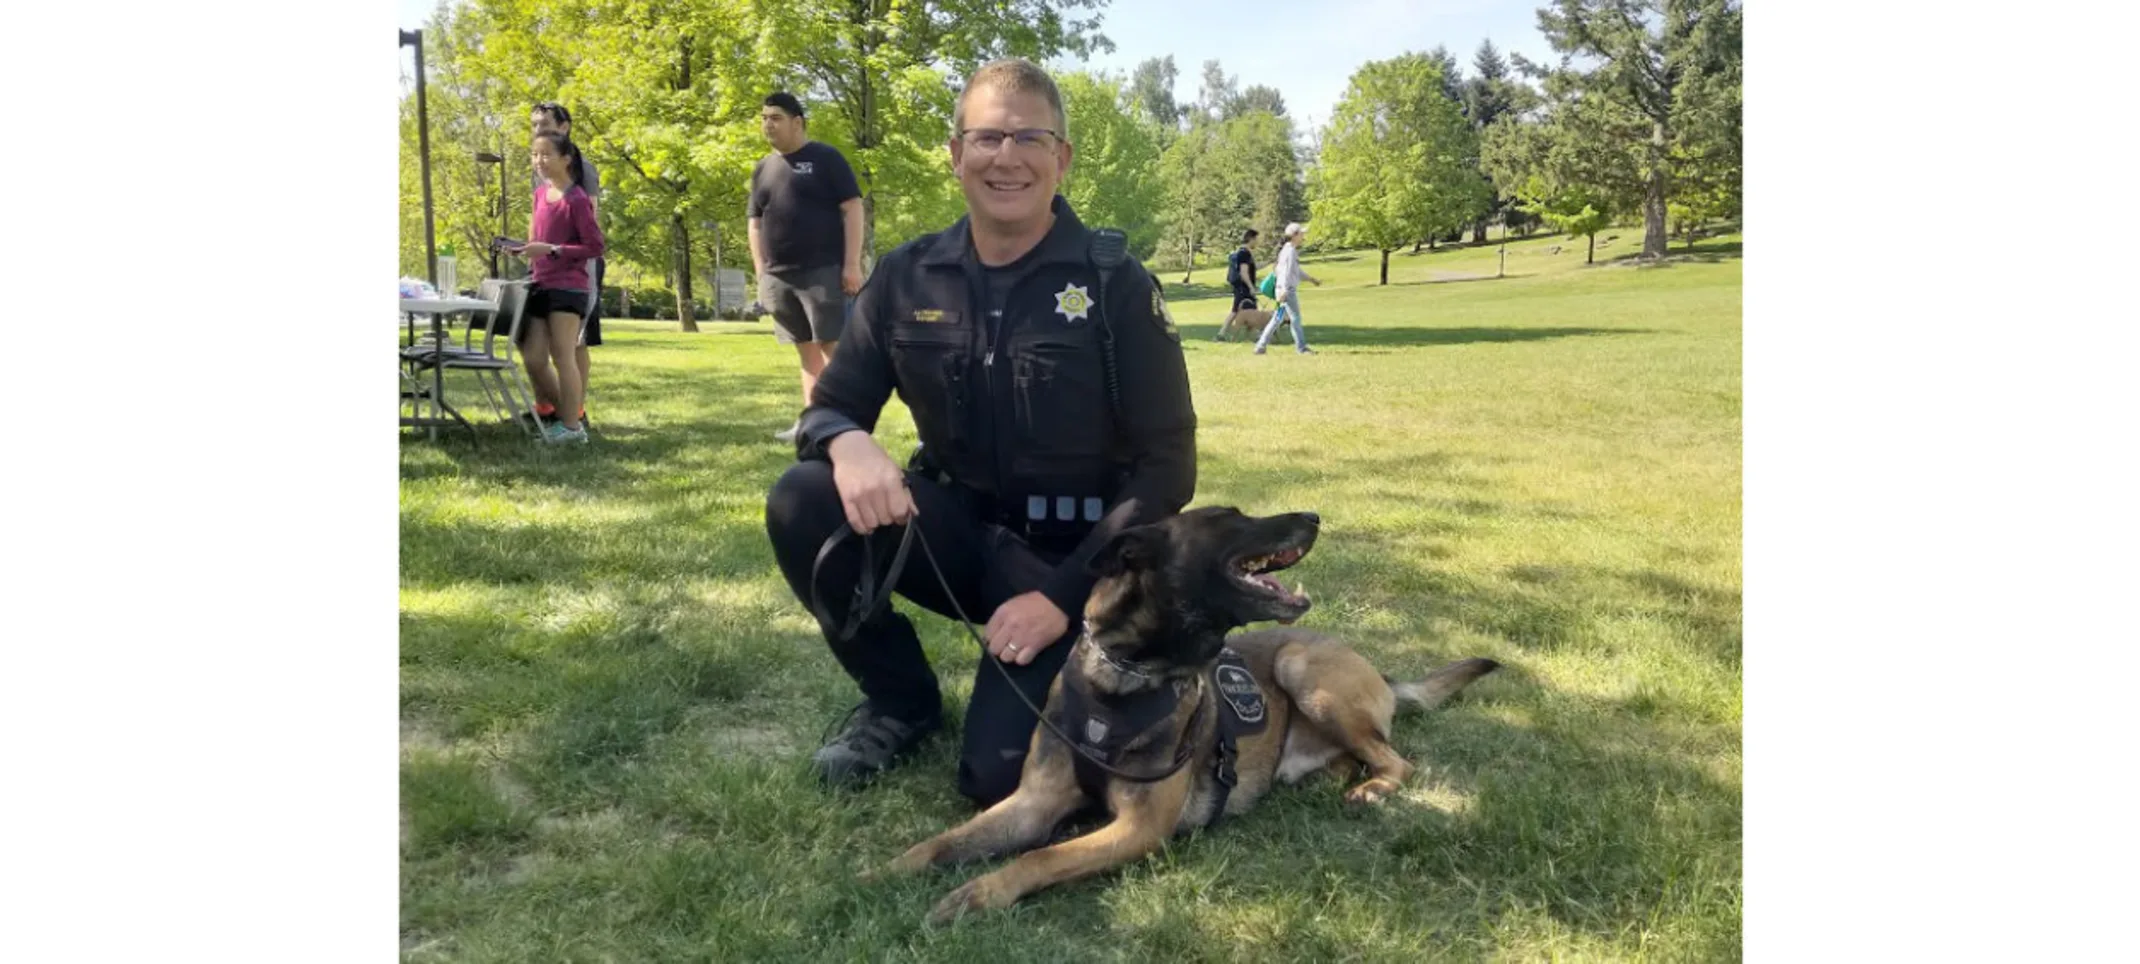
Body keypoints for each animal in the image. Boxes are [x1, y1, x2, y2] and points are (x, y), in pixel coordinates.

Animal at [868, 505, 1506, 916]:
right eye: (1231, 518)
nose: (1316, 517)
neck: (1122, 678)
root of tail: (1376, 670)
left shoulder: (1138, 828)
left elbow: (1040, 858)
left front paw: (981, 893)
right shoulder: (1033, 803)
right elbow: (939, 844)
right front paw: (877, 875)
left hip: (1303, 670)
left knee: (1398, 761)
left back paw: (1371, 789)